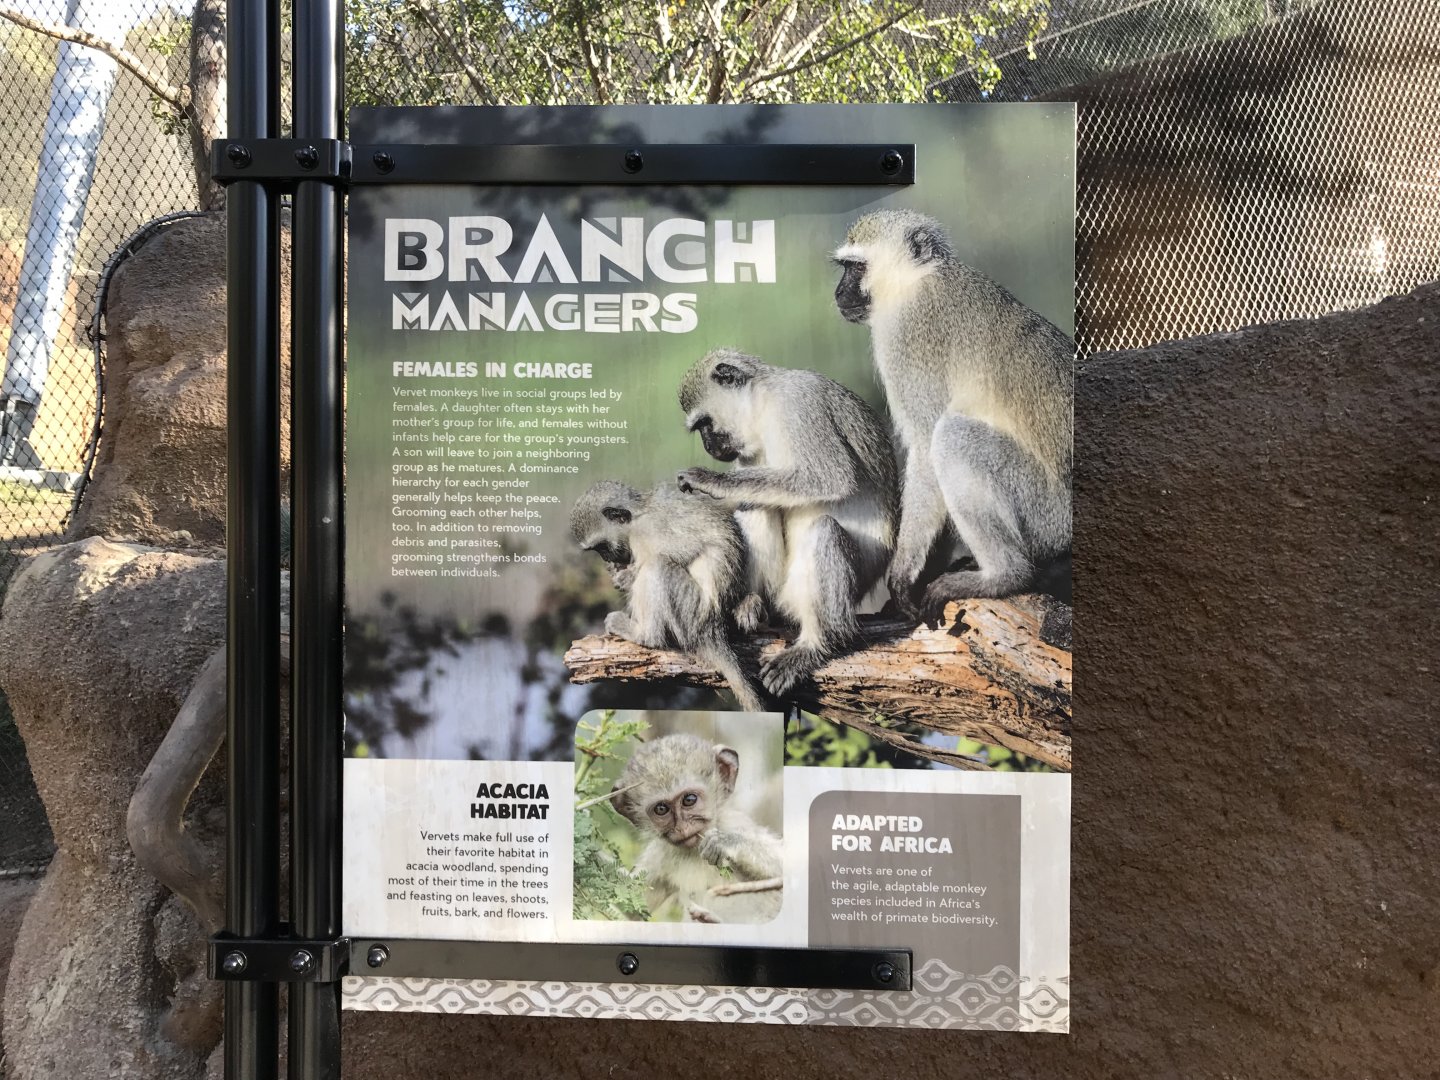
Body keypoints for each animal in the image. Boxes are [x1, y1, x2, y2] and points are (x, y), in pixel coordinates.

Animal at [570, 480, 768, 713]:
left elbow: (682, 551)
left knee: (657, 566)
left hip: (692, 611)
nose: (606, 559)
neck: (638, 513)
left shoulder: (648, 532)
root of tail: (713, 628)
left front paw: (626, 576)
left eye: (601, 547)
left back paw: (644, 634)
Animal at [611, 733, 783, 924]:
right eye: (661, 809)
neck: (694, 852)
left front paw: (725, 842)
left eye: (689, 800)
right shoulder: (660, 854)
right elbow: (634, 907)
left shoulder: (733, 822)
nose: (682, 828)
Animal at [676, 348, 898, 698]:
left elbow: (829, 478)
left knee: (824, 530)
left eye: (704, 424)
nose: (709, 447)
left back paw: (816, 644)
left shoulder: (800, 405)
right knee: (755, 504)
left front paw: (711, 481)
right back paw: (752, 603)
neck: (765, 403)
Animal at [833, 209, 1073, 624]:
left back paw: (1002, 576)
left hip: (1049, 515)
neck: (916, 280)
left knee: (953, 437)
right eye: (845, 266)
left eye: (856, 267)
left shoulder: (907, 336)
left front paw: (903, 573)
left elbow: (926, 447)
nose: (837, 293)